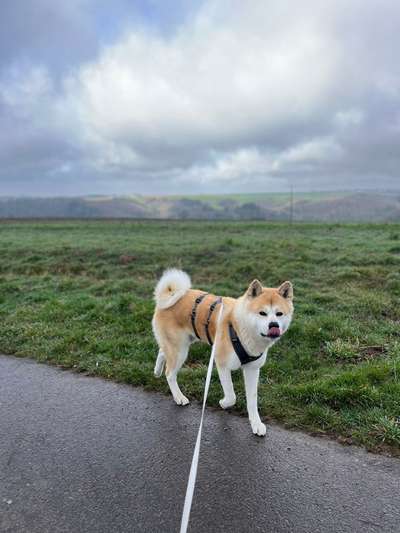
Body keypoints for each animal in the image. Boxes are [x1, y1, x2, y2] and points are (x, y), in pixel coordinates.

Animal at [152, 268, 292, 434]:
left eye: (279, 314)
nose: (274, 325)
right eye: (262, 313)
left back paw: (157, 371)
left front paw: (256, 424)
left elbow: (252, 400)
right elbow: (231, 395)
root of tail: (170, 295)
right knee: (170, 373)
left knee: (162, 352)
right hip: (180, 350)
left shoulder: (253, 369)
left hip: (181, 344)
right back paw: (179, 396)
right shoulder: (222, 364)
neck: (240, 329)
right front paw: (223, 403)